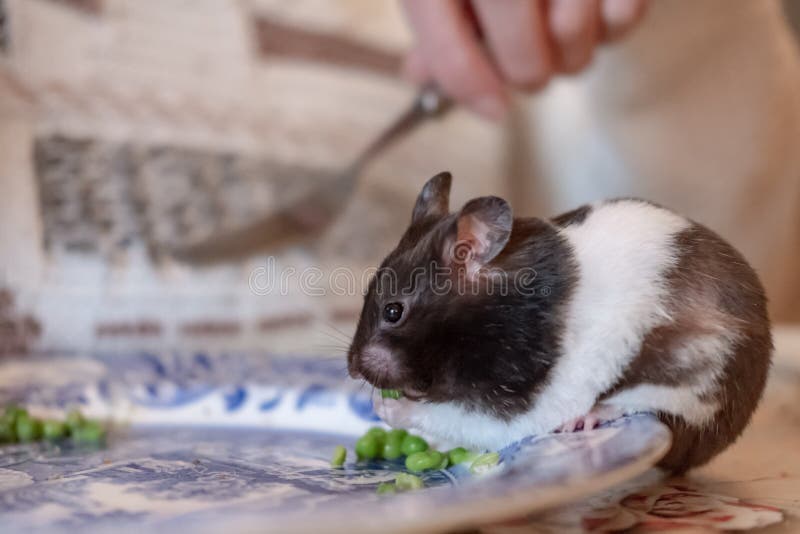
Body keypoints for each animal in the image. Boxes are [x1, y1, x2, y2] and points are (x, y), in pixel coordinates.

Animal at [346, 172, 772, 474]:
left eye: (393, 312)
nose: (351, 369)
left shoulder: (519, 402)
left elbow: (451, 415)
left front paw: (385, 408)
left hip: (694, 380)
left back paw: (591, 417)